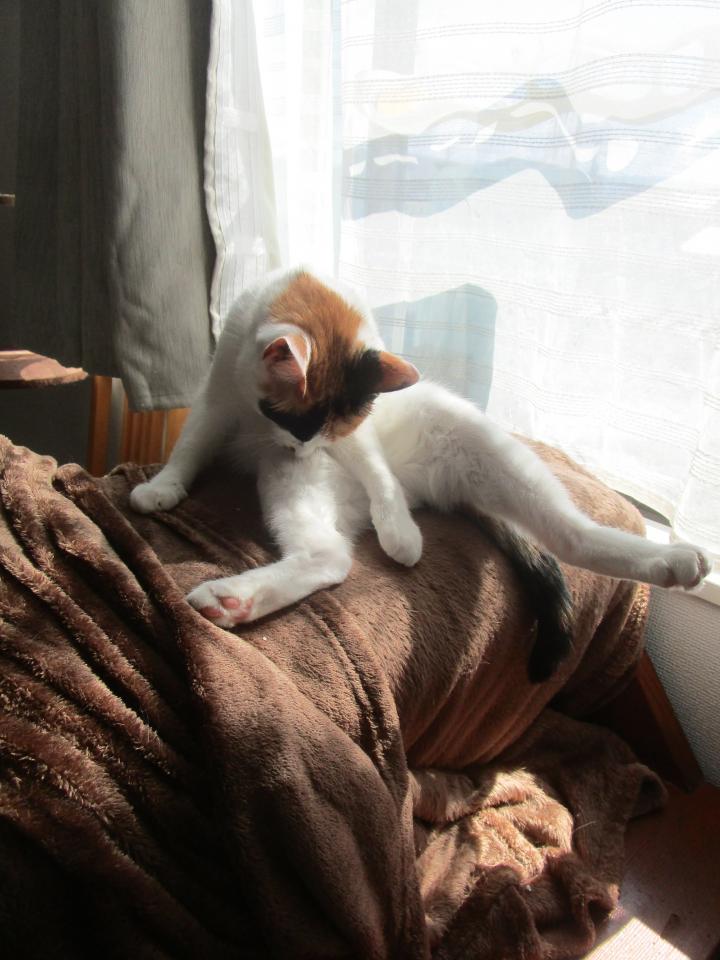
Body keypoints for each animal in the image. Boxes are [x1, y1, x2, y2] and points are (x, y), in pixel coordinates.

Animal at [130, 267, 712, 682]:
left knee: (572, 536)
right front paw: (163, 487)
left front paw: (399, 532)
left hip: (473, 442)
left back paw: (675, 560)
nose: (306, 446)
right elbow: (191, 443)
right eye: (288, 419)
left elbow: (373, 467)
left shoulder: (355, 430)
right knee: (330, 558)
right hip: (292, 480)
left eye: (324, 425)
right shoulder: (219, 393)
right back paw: (236, 600)